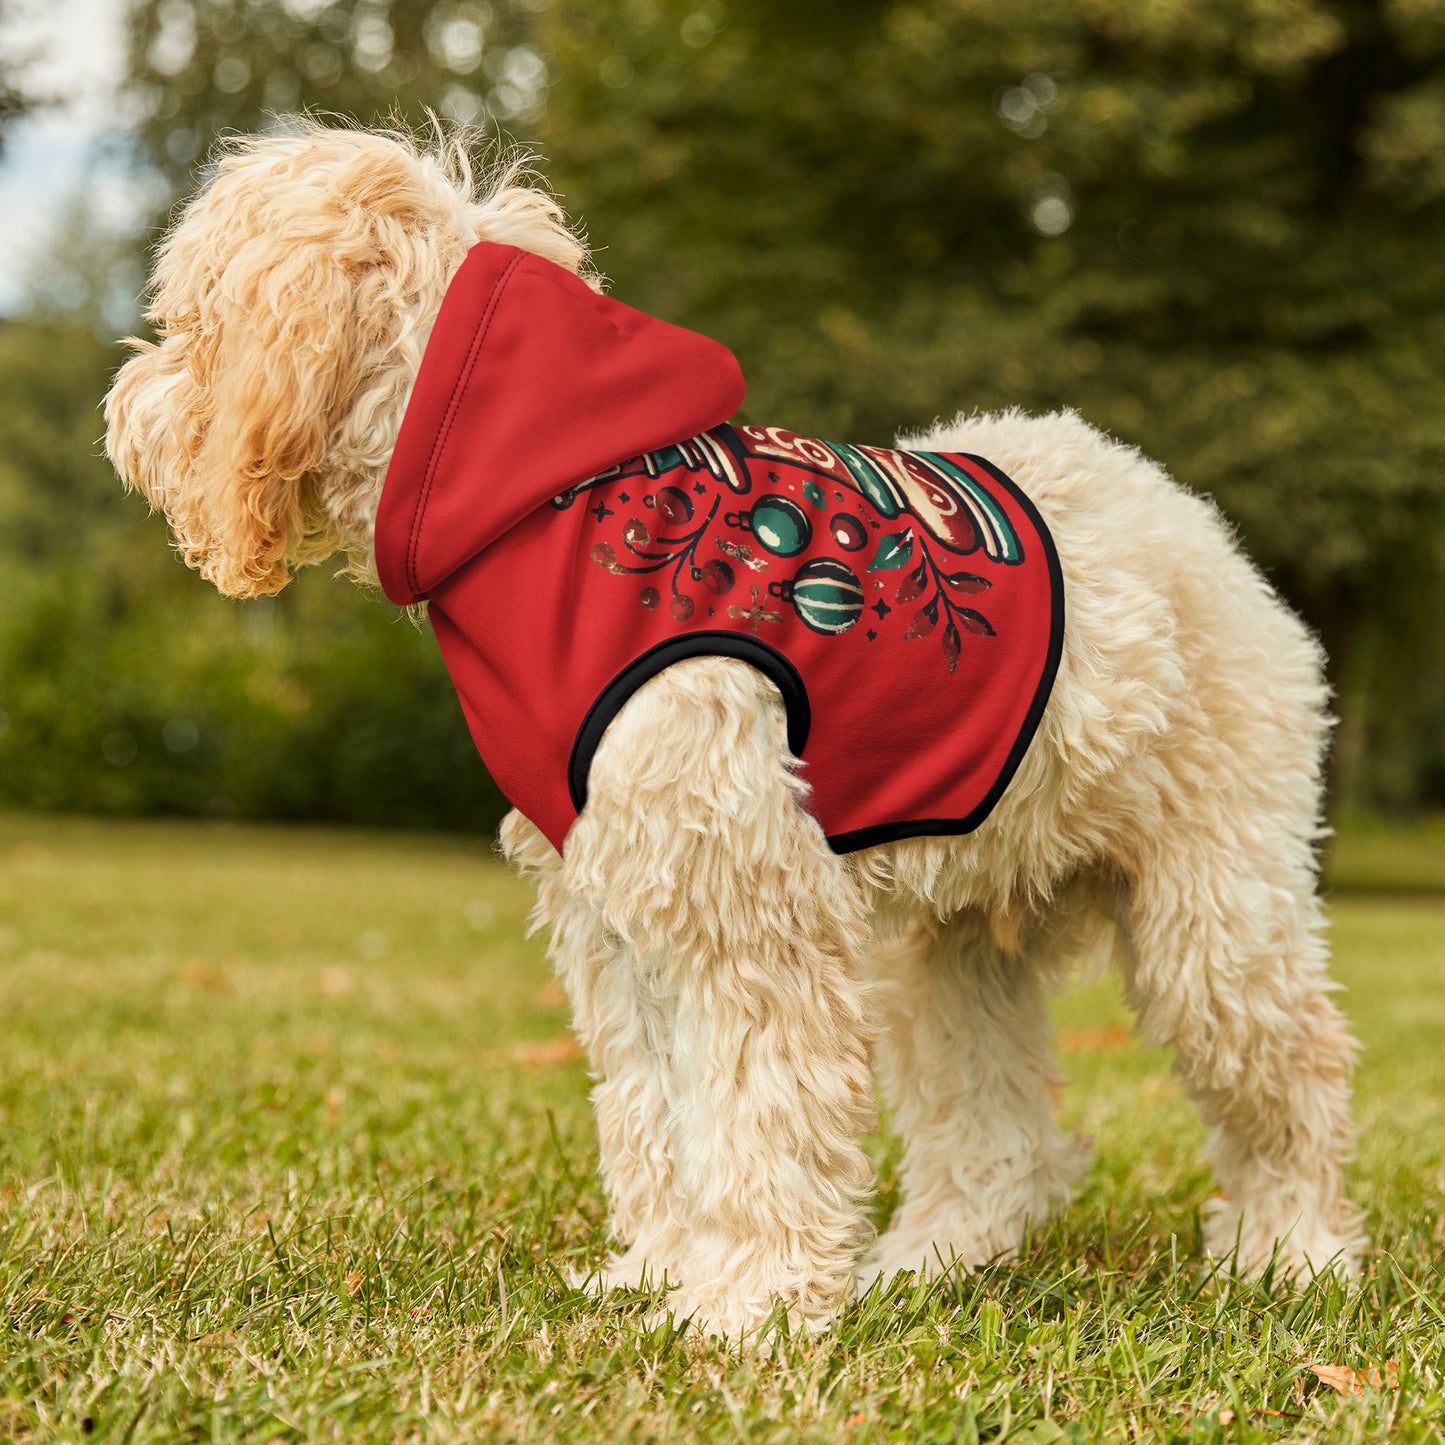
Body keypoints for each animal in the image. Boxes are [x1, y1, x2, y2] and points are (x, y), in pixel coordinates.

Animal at [104, 124, 1364, 1340]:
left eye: (190, 318)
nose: (123, 409)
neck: (543, 499)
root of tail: (1191, 520)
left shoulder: (744, 904)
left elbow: (758, 1113)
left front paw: (747, 1304)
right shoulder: (618, 910)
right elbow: (656, 1111)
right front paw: (662, 1273)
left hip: (1213, 915)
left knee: (1293, 1077)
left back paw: (1290, 1252)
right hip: (949, 949)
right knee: (996, 1135)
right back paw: (928, 1261)